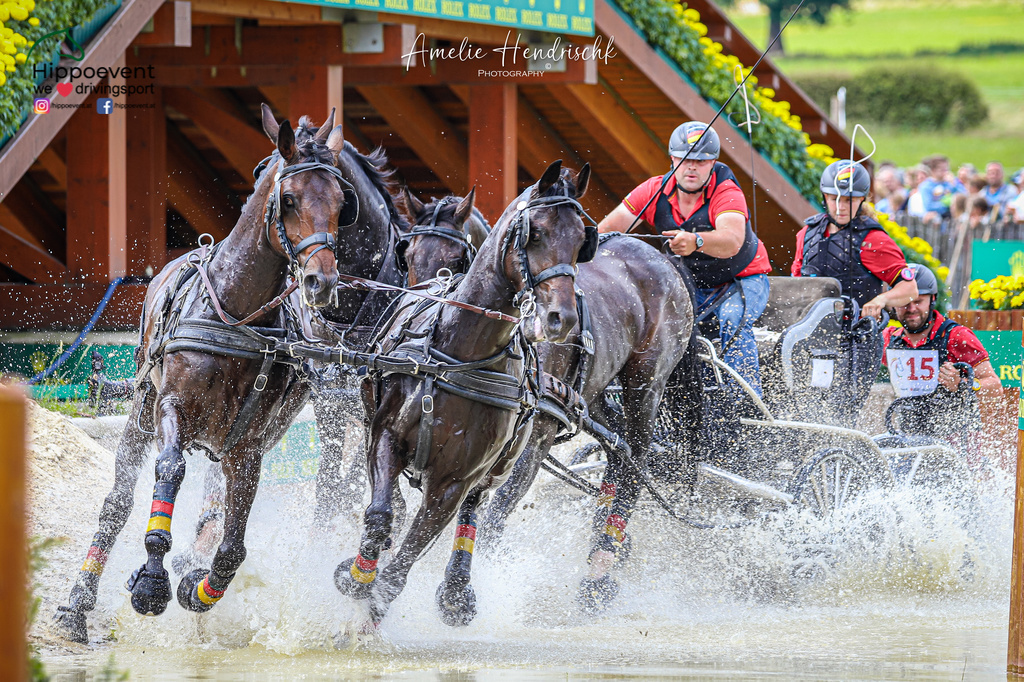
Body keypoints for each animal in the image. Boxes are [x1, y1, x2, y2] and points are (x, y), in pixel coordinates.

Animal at [331, 160, 598, 626]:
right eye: (536, 232)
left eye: (583, 240)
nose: (560, 318)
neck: (459, 353)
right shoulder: (385, 435)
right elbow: (380, 517)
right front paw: (356, 576)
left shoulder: (453, 484)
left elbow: (400, 572)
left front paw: (369, 615)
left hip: (501, 466)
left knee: (474, 511)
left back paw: (457, 588)